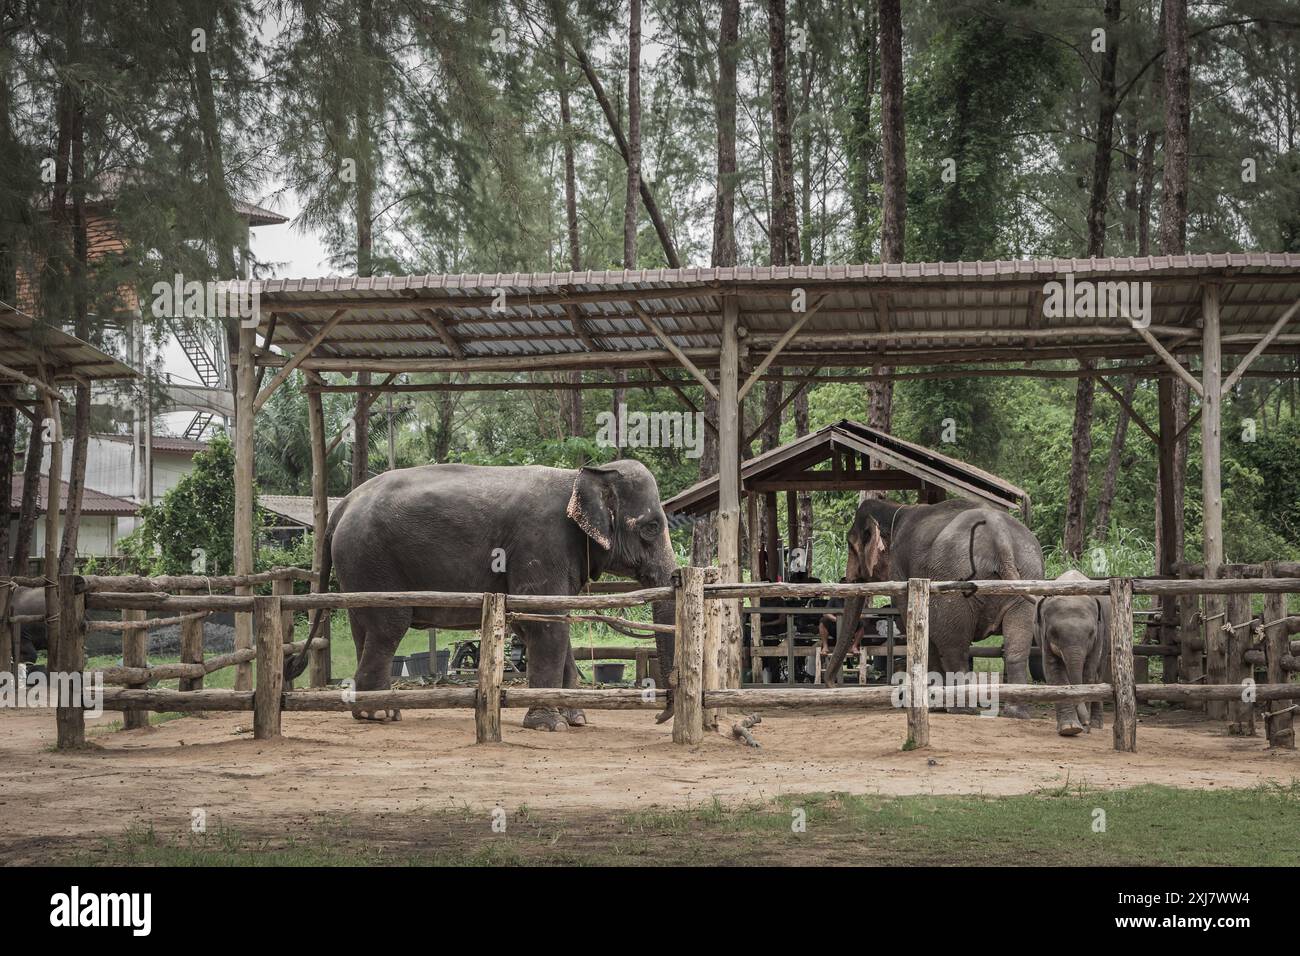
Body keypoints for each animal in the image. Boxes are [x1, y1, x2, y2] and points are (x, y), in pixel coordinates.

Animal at [287, 460, 681, 728]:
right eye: (651, 528)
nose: (660, 716)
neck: (580, 475)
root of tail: (342, 506)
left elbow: (551, 619)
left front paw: (576, 719)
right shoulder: (542, 543)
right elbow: (546, 622)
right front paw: (549, 725)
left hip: (358, 565)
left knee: (363, 628)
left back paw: (374, 711)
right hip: (372, 559)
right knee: (388, 626)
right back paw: (381, 714)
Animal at [832, 502, 1045, 717]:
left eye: (851, 545)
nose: (832, 683)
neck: (895, 510)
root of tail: (1001, 540)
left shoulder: (900, 572)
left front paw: (934, 704)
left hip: (955, 586)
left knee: (955, 647)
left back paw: (961, 708)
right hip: (1027, 575)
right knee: (1016, 648)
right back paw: (1016, 712)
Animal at [1034, 572, 1107, 738]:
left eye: (1091, 633)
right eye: (1054, 633)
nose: (1086, 723)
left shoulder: (1099, 635)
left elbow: (1088, 672)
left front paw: (1084, 728)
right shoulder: (1043, 637)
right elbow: (1054, 671)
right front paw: (1070, 728)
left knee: (1098, 674)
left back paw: (1096, 724)